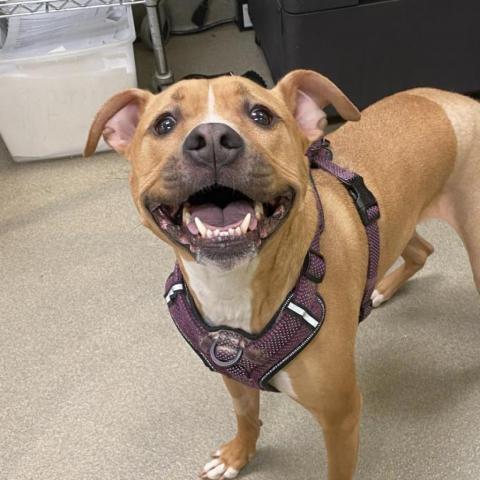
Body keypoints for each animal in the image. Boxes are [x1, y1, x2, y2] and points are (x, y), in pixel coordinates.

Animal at [84, 68, 478, 480]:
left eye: (261, 116)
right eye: (164, 124)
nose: (212, 140)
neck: (233, 288)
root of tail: (458, 100)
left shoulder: (341, 416)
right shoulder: (233, 376)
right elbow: (246, 417)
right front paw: (237, 455)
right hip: (397, 225)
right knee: (422, 250)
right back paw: (382, 289)